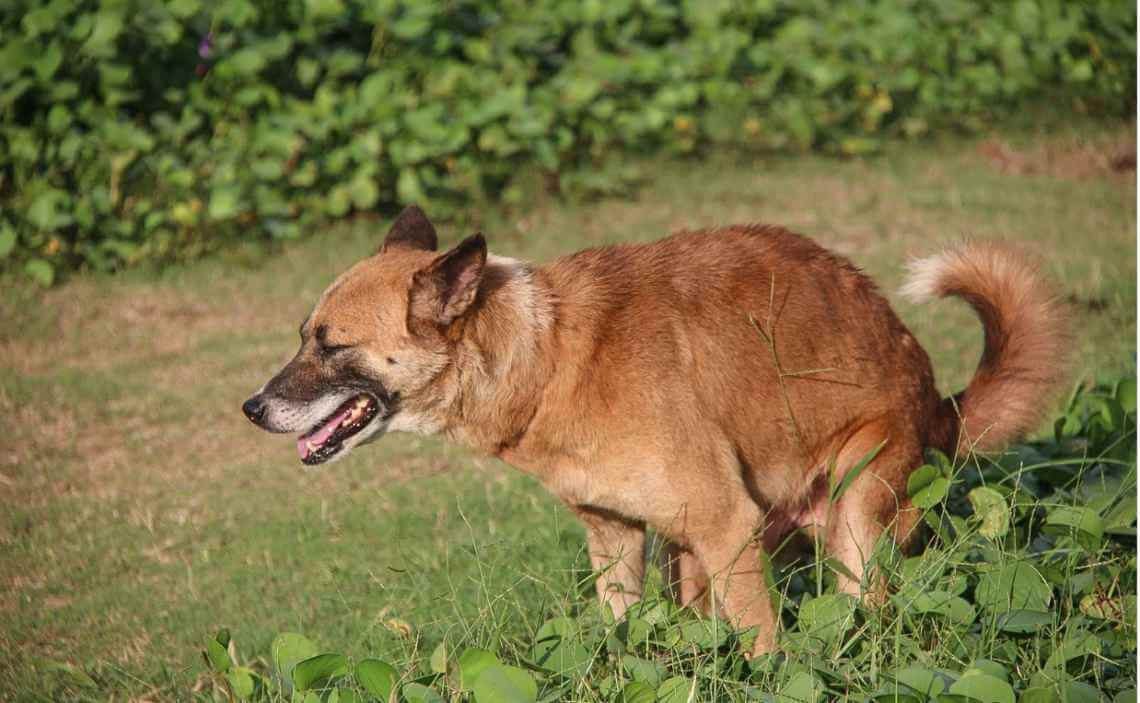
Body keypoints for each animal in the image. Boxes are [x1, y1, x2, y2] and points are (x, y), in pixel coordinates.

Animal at [240, 203, 1067, 651]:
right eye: (303, 335)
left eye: (331, 344)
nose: (252, 408)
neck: (548, 356)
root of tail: (939, 400)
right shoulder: (617, 539)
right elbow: (624, 634)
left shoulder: (726, 524)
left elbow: (767, 649)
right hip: (693, 550)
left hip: (851, 519)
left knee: (867, 606)